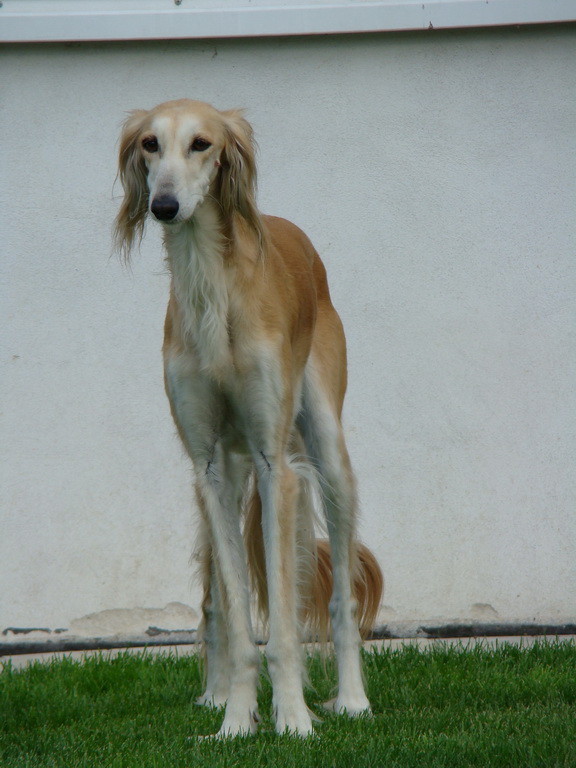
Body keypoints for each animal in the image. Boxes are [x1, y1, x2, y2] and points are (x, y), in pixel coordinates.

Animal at [113, 99, 382, 736]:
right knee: (216, 598)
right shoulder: (210, 466)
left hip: (325, 455)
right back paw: (216, 694)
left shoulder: (273, 463)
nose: (164, 206)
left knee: (342, 595)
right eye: (150, 144)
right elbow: (237, 618)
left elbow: (281, 622)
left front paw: (293, 719)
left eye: (202, 144)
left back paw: (352, 699)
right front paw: (235, 720)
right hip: (229, 480)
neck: (214, 292)